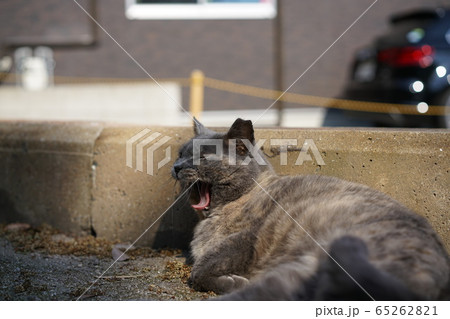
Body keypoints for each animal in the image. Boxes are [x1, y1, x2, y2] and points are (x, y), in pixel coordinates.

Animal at [171, 119, 448, 302]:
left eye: (203, 157)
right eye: (181, 153)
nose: (176, 166)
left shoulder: (245, 239)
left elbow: (199, 270)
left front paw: (231, 280)